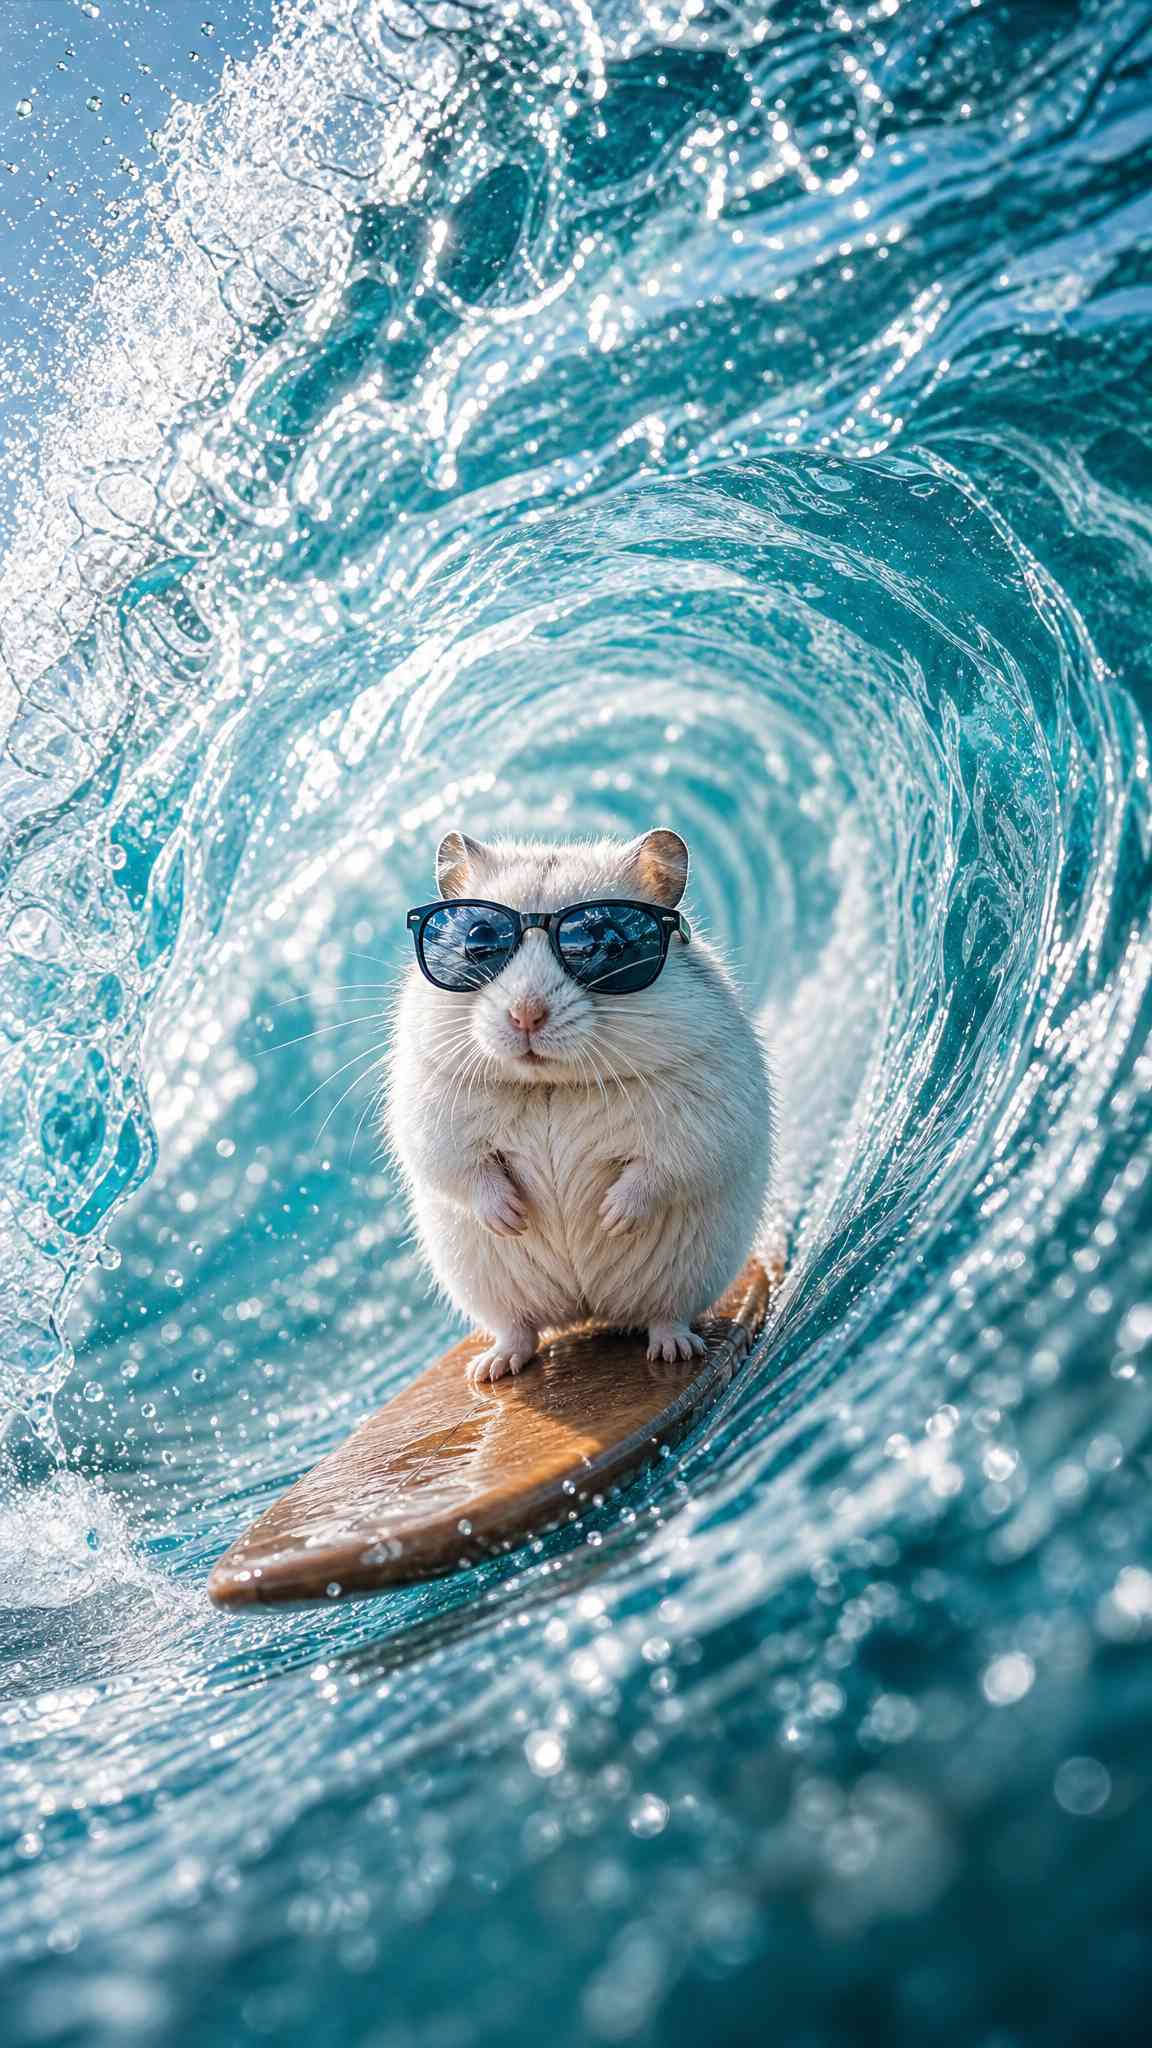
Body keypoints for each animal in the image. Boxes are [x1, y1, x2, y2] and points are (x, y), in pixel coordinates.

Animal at [386, 827, 773, 1383]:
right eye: (477, 941)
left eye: (607, 942)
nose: (525, 1015)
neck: (552, 1084)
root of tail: (587, 1310)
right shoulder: (430, 1113)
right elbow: (468, 1172)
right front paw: (513, 1219)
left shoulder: (704, 1113)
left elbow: (660, 1169)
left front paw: (610, 1216)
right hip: (488, 1291)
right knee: (520, 1330)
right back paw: (490, 1369)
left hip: (687, 1277)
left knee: (666, 1315)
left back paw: (675, 1351)